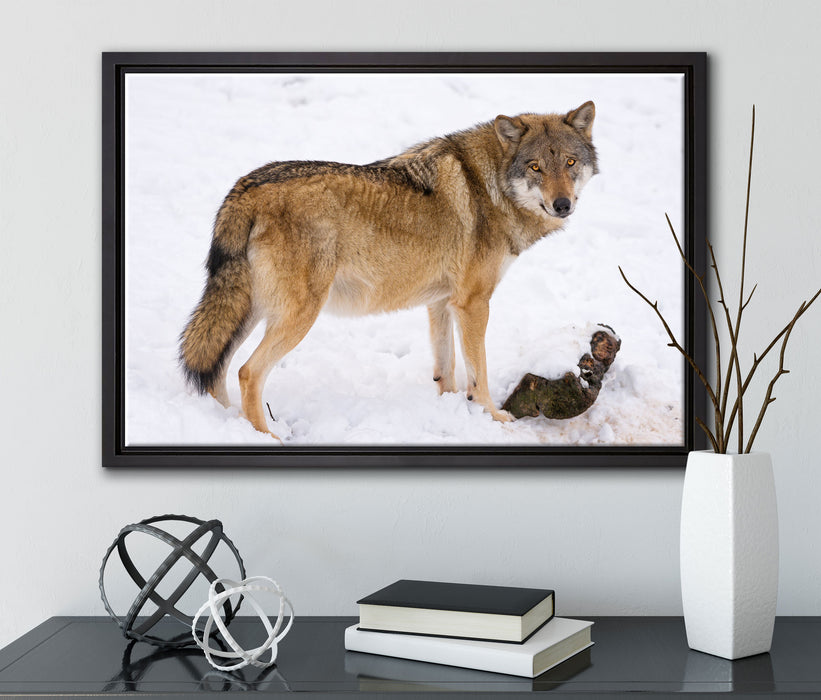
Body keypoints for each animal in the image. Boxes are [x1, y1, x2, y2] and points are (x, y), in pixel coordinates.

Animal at [179, 101, 598, 439]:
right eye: (536, 167)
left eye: (570, 163)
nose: (562, 204)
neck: (491, 184)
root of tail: (244, 187)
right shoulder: (473, 304)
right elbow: (478, 373)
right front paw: (492, 418)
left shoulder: (443, 302)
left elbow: (446, 369)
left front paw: (451, 413)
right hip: (297, 315)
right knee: (247, 372)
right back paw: (268, 438)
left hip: (250, 311)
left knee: (218, 371)